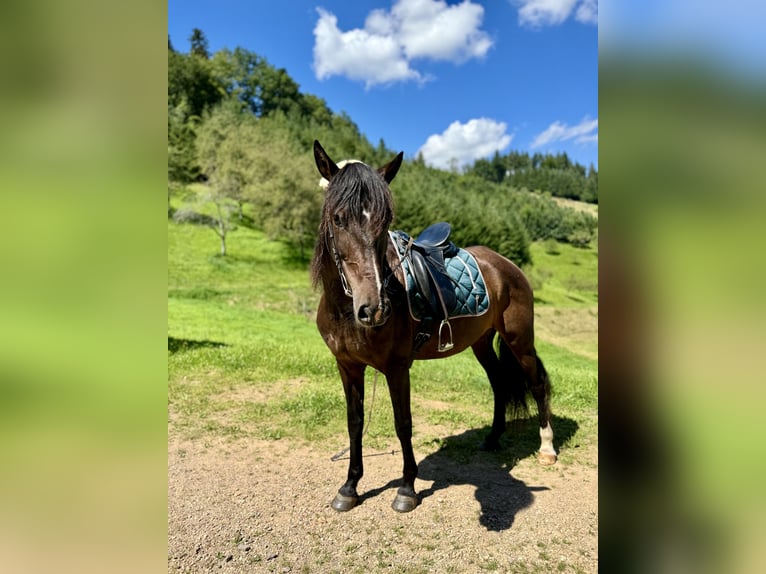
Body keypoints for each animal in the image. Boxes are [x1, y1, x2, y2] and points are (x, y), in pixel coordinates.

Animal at [312, 142, 560, 516]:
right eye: (337, 218)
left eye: (385, 222)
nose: (375, 308)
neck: (345, 311)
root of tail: (507, 265)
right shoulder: (347, 366)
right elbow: (355, 423)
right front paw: (350, 487)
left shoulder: (397, 368)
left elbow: (403, 423)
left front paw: (406, 489)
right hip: (482, 342)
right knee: (499, 383)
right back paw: (492, 438)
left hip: (519, 340)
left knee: (537, 384)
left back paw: (547, 449)